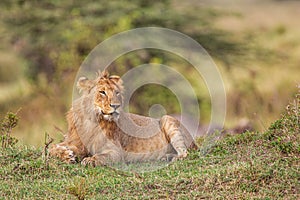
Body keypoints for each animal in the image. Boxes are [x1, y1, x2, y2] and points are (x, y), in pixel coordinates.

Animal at [49, 70, 197, 166]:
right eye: (102, 92)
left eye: (117, 93)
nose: (116, 106)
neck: (92, 120)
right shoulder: (76, 142)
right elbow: (51, 148)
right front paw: (67, 156)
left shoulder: (116, 151)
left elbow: (102, 156)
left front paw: (90, 160)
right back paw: (166, 157)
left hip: (167, 119)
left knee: (186, 153)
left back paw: (174, 159)